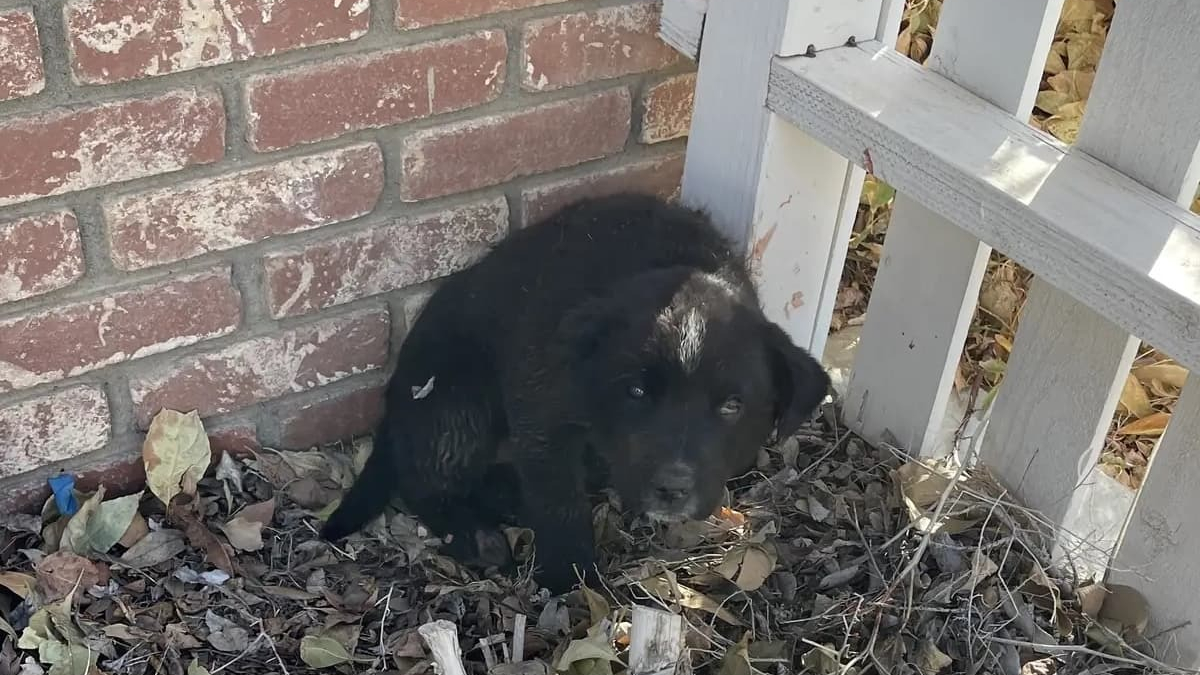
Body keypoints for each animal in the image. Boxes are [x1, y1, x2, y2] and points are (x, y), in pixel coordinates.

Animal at [321, 192, 835, 590]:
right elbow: (558, 500)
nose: (672, 489)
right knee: (425, 480)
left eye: (732, 406)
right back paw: (475, 535)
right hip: (453, 399)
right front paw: (570, 580)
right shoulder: (540, 413)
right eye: (635, 391)